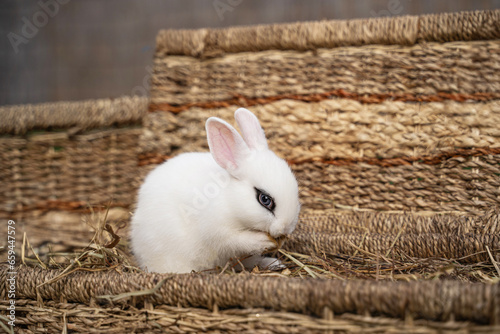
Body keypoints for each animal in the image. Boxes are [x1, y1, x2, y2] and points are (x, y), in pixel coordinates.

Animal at [130, 108, 300, 272]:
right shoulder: (218, 232)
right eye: (265, 199)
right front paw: (263, 241)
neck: (230, 200)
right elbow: (239, 241)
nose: (286, 228)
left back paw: (273, 263)